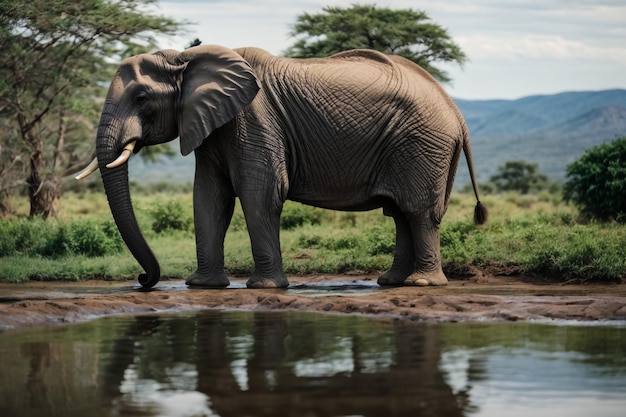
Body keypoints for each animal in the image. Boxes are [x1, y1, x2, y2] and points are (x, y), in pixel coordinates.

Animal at [75, 44, 488, 288]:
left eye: (142, 98)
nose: (144, 278)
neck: (185, 57)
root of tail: (456, 112)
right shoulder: (213, 126)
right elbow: (208, 197)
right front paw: (203, 286)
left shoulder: (254, 120)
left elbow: (259, 194)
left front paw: (263, 287)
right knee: (401, 212)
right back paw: (391, 282)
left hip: (421, 144)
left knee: (417, 211)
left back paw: (422, 285)